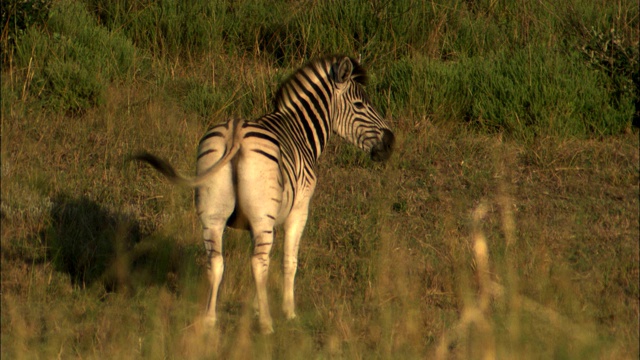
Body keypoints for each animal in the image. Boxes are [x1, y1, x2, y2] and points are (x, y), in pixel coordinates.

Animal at [134, 54, 396, 334]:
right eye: (360, 104)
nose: (391, 143)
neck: (300, 130)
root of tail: (235, 131)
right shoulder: (298, 210)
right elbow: (289, 261)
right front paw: (288, 312)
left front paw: (256, 307)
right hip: (262, 217)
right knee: (258, 264)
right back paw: (267, 325)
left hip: (214, 214)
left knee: (216, 262)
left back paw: (210, 321)